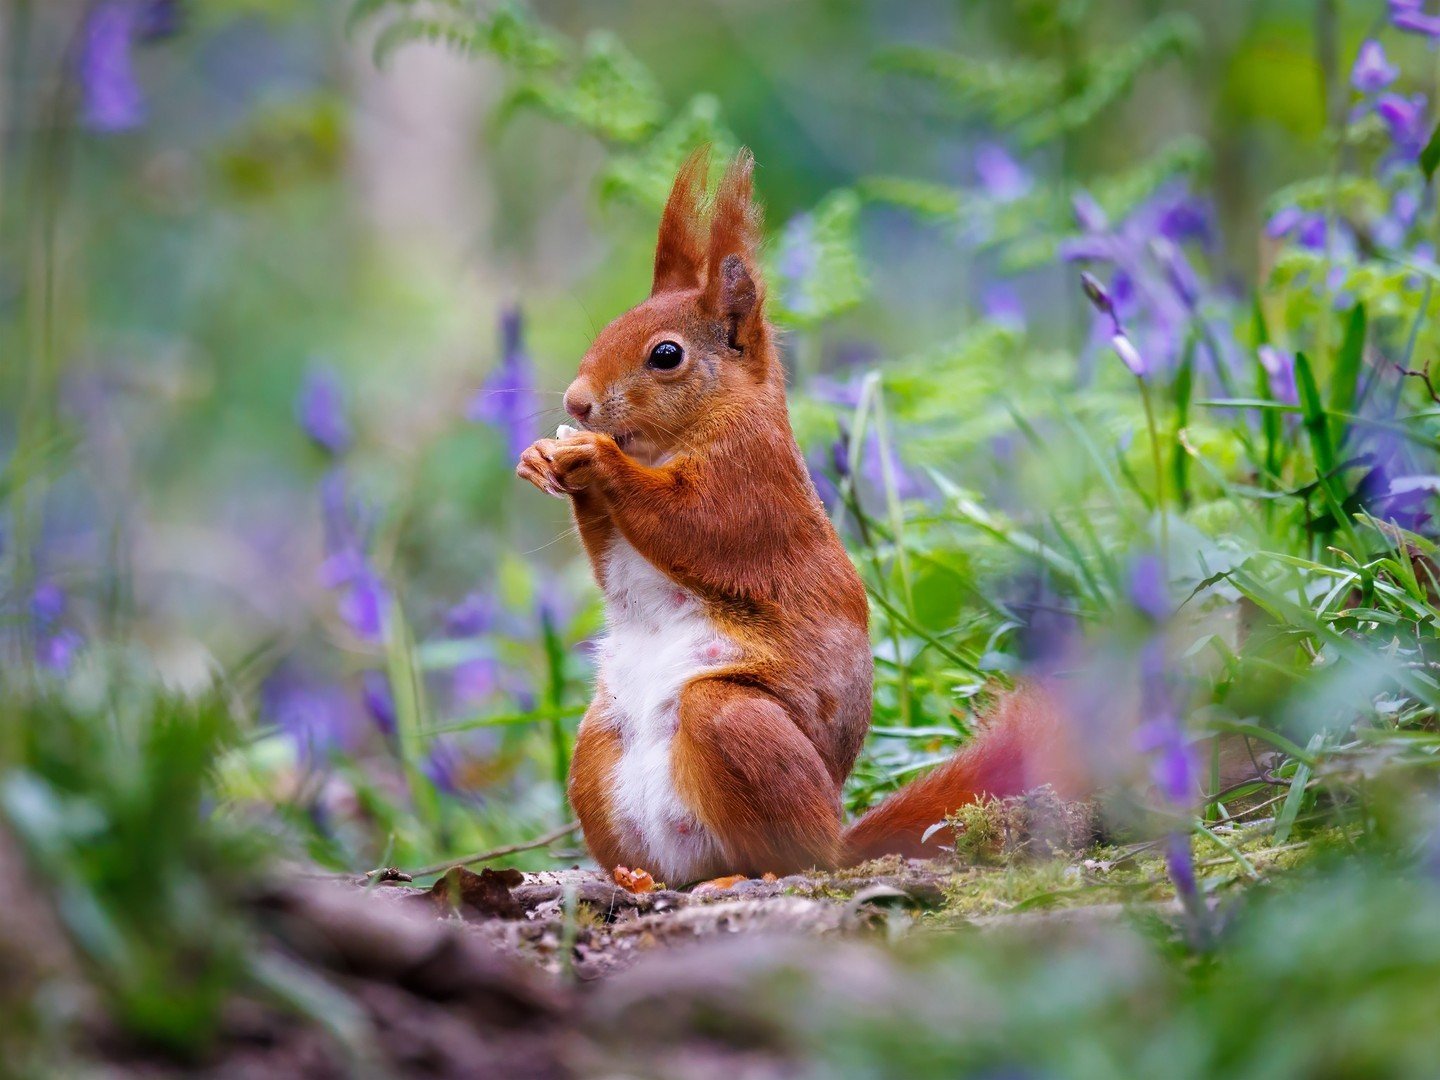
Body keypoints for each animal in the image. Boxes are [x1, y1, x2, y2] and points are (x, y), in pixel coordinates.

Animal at [512, 146, 1082, 887]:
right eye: (608, 328)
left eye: (666, 355)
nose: (576, 403)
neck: (679, 437)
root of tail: (838, 840)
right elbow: (610, 557)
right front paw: (544, 458)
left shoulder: (752, 484)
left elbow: (693, 525)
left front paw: (598, 459)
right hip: (597, 744)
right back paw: (631, 877)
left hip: (735, 723)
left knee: (787, 852)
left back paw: (749, 873)